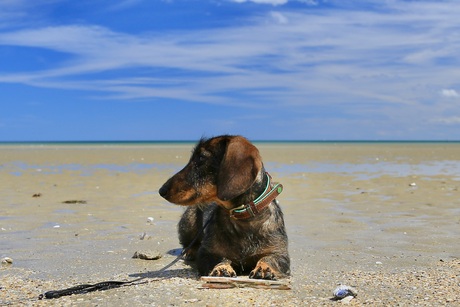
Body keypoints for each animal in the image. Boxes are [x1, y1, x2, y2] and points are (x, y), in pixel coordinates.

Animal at [158, 136, 288, 280]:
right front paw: (222, 267)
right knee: (189, 243)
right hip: (188, 223)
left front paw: (264, 268)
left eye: (201, 158)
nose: (161, 190)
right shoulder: (206, 253)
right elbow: (218, 258)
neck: (242, 217)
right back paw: (190, 251)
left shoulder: (280, 254)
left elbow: (269, 258)